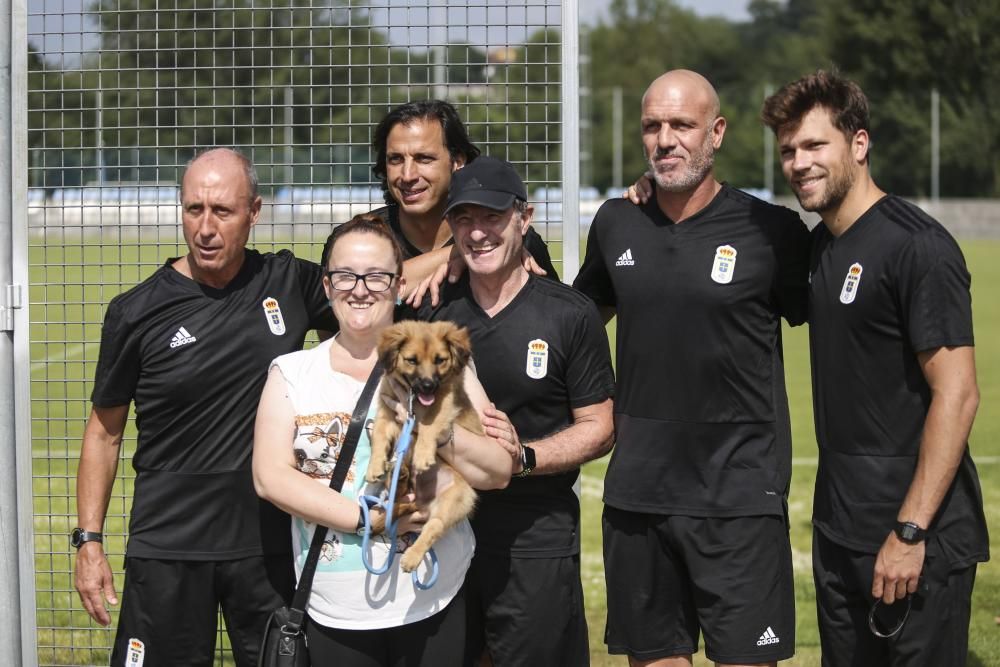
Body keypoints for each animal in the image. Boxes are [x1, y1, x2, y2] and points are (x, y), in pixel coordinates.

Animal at [370, 320, 482, 572]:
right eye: (412, 360)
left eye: (440, 360)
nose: (429, 386)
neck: (414, 399)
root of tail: (423, 502)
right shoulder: (387, 411)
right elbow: (378, 437)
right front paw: (374, 466)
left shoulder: (444, 403)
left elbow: (428, 425)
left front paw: (423, 455)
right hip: (410, 490)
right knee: (397, 496)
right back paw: (398, 474)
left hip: (454, 500)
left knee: (434, 526)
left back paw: (412, 556)